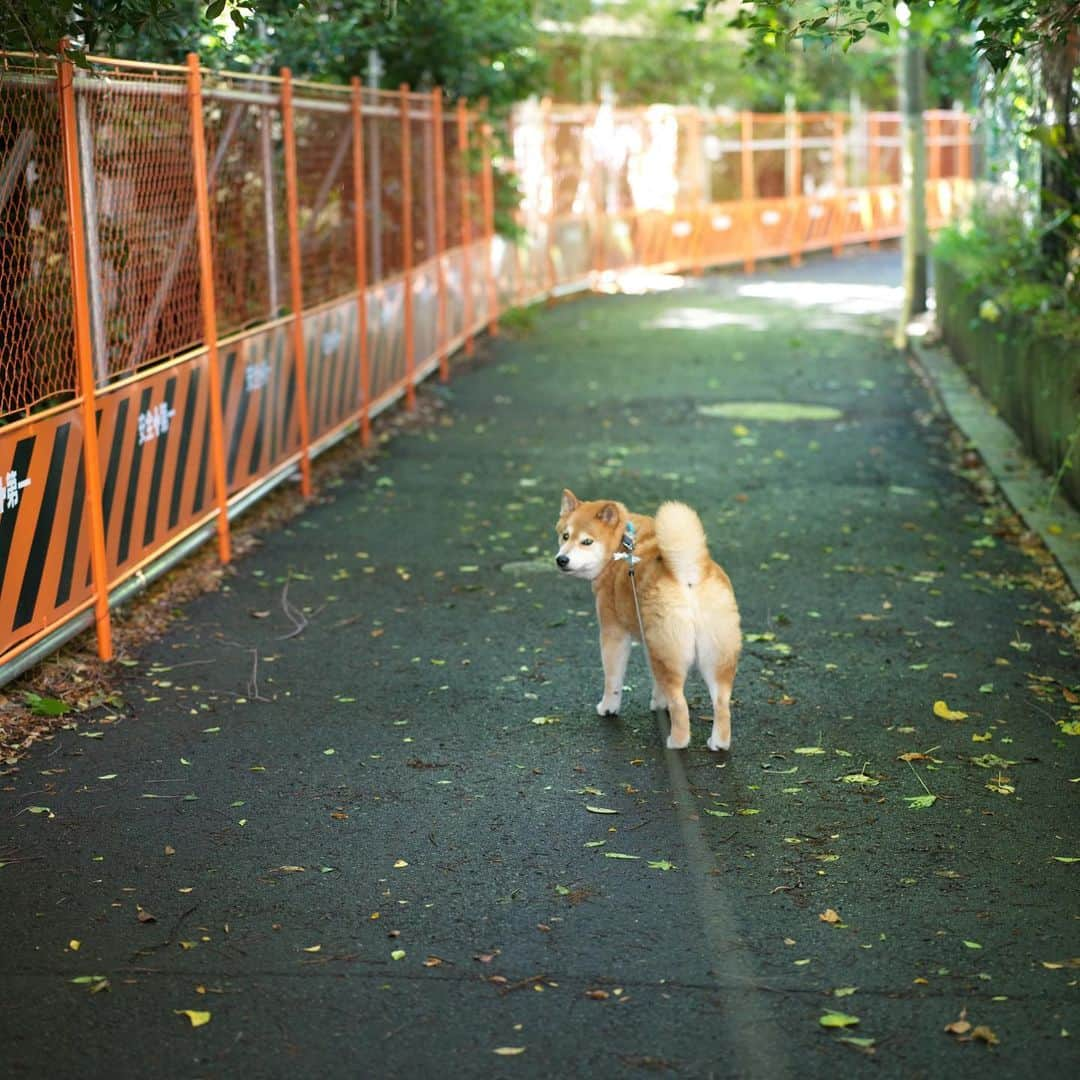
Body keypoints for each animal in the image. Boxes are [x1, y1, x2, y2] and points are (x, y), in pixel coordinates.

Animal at [557, 492, 743, 751]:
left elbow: (612, 679)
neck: (621, 544)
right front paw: (658, 702)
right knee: (722, 704)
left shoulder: (614, 633)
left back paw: (675, 742)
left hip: (669, 652)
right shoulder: (650, 644)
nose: (561, 559)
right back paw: (718, 743)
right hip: (712, 657)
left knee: (680, 705)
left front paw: (608, 707)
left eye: (587, 542)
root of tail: (689, 574)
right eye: (565, 536)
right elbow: (657, 683)